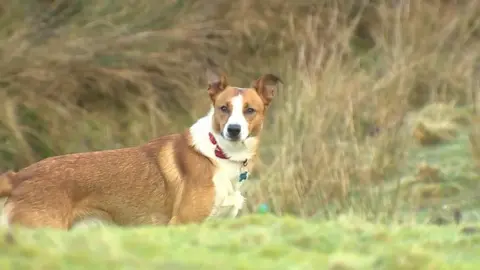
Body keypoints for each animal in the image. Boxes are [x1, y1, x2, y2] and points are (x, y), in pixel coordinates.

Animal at [0, 70, 282, 229]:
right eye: (224, 108)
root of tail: (18, 176)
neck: (219, 154)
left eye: (250, 110)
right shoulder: (183, 224)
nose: (233, 130)